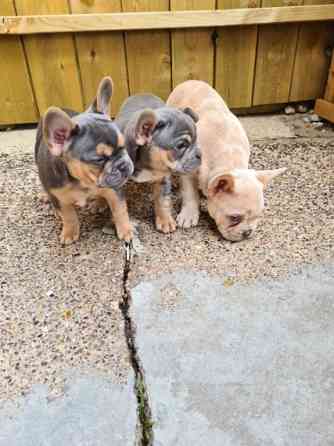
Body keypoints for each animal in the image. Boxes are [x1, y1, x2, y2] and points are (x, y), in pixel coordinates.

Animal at [34, 76, 133, 244]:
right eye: (99, 159)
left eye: (123, 145)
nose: (123, 165)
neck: (82, 182)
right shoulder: (60, 198)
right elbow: (68, 216)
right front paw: (69, 232)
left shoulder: (115, 190)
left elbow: (120, 209)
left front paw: (126, 229)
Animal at [114, 94, 201, 233]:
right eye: (181, 145)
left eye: (196, 140)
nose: (200, 154)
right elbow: (119, 207)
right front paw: (125, 229)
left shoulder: (163, 179)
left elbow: (162, 200)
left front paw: (165, 220)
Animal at [168, 79, 286, 240]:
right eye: (234, 218)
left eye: (258, 216)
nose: (247, 232)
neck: (228, 159)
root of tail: (191, 81)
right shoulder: (189, 170)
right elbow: (189, 193)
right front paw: (189, 215)